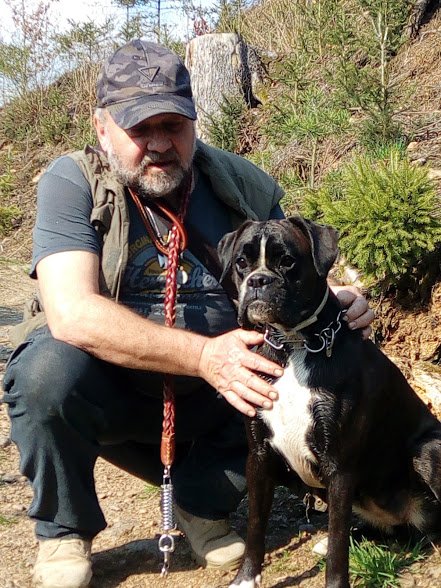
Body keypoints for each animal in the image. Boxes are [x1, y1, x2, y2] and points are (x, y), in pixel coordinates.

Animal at [217, 216, 441, 588]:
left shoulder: (339, 466)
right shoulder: (260, 457)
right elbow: (255, 526)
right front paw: (246, 578)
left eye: (287, 261)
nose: (258, 280)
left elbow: (337, 542)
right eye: (241, 263)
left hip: (427, 449)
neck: (294, 345)